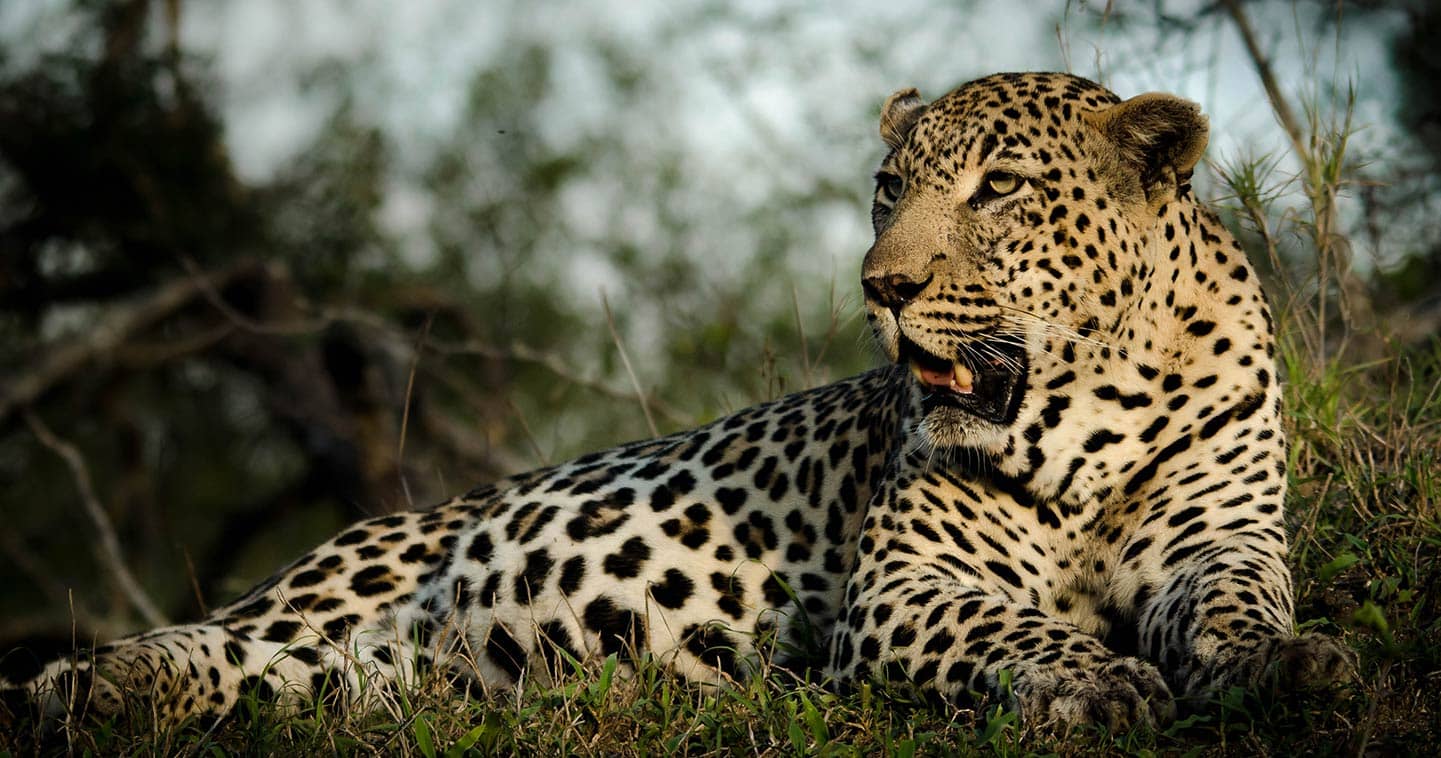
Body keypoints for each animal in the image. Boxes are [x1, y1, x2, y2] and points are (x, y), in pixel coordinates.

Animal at [5, 71, 1343, 737]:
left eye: (1000, 187)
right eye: (886, 187)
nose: (882, 286)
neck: (1087, 409)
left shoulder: (1219, 534)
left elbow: (1238, 602)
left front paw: (1282, 663)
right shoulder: (904, 582)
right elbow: (1008, 626)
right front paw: (1095, 680)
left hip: (373, 678)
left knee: (282, 677)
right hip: (346, 581)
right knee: (227, 634)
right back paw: (83, 686)